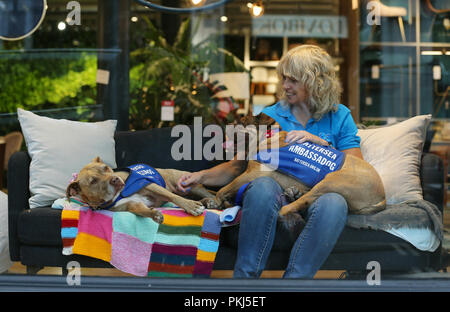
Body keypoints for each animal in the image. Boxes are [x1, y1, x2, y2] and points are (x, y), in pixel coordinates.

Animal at [67, 157, 214, 223]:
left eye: (106, 168)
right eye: (93, 181)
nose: (115, 179)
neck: (117, 195)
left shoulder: (149, 185)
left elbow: (173, 197)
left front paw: (191, 207)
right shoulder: (129, 204)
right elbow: (140, 209)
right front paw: (154, 214)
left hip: (187, 183)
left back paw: (210, 201)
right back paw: (206, 201)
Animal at [206, 114, 384, 217]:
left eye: (240, 122)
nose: (224, 125)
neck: (268, 136)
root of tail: (382, 197)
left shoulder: (251, 174)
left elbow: (225, 188)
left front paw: (216, 200)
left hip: (331, 180)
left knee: (304, 201)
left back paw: (286, 207)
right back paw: (294, 192)